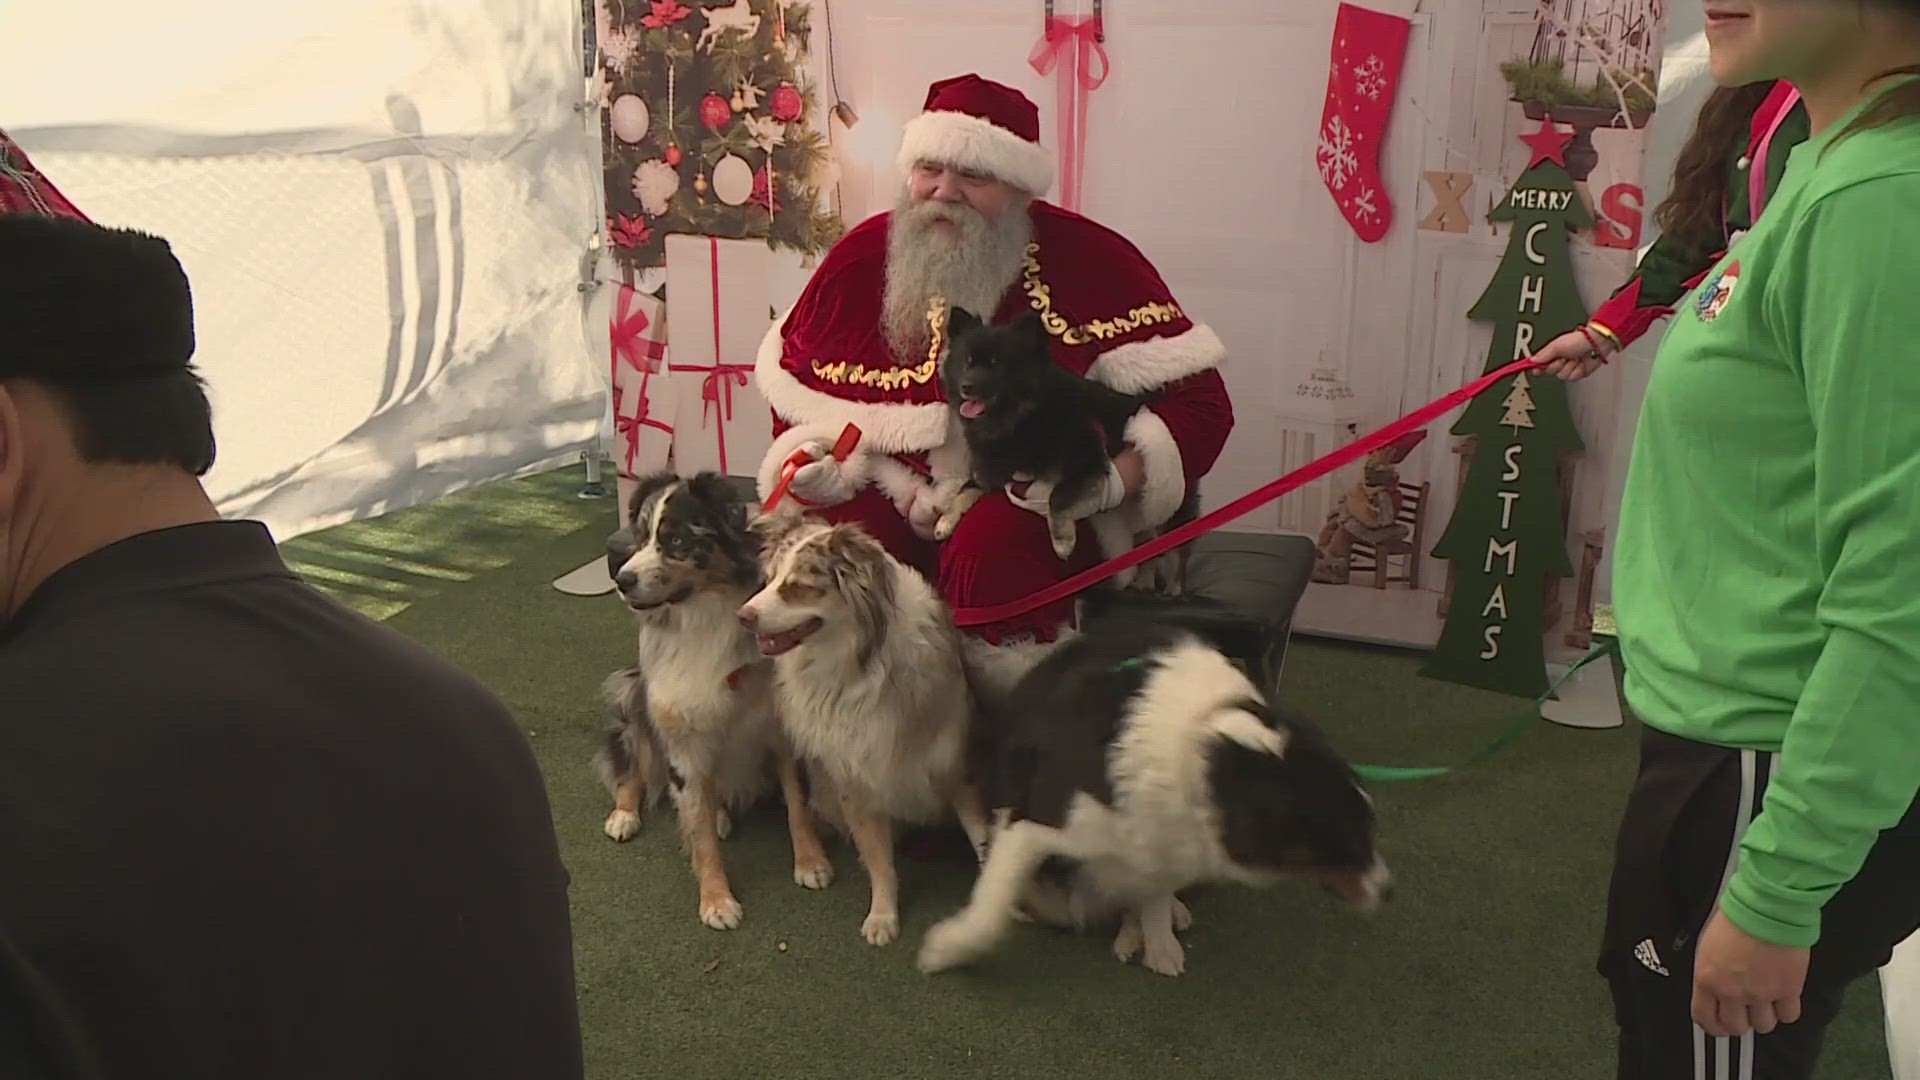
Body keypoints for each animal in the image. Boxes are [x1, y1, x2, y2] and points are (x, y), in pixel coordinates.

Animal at [591, 468, 833, 926]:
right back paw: (625, 815)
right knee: (635, 765)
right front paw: (717, 900)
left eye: (676, 540)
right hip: (636, 694)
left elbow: (796, 805)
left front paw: (811, 863)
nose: (620, 579)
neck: (702, 619)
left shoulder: (780, 732)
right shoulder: (680, 738)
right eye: (640, 536)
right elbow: (701, 836)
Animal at [733, 507, 990, 937]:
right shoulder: (854, 778)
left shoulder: (955, 764)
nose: (742, 617)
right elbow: (879, 860)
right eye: (767, 579)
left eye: (797, 586)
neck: (859, 665)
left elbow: (982, 836)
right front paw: (883, 916)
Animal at [936, 299, 1144, 553]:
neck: (1016, 424)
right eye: (967, 363)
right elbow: (963, 490)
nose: (966, 386)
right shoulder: (987, 472)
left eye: (996, 365)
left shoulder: (1088, 461)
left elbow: (1058, 495)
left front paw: (1062, 539)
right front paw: (945, 520)